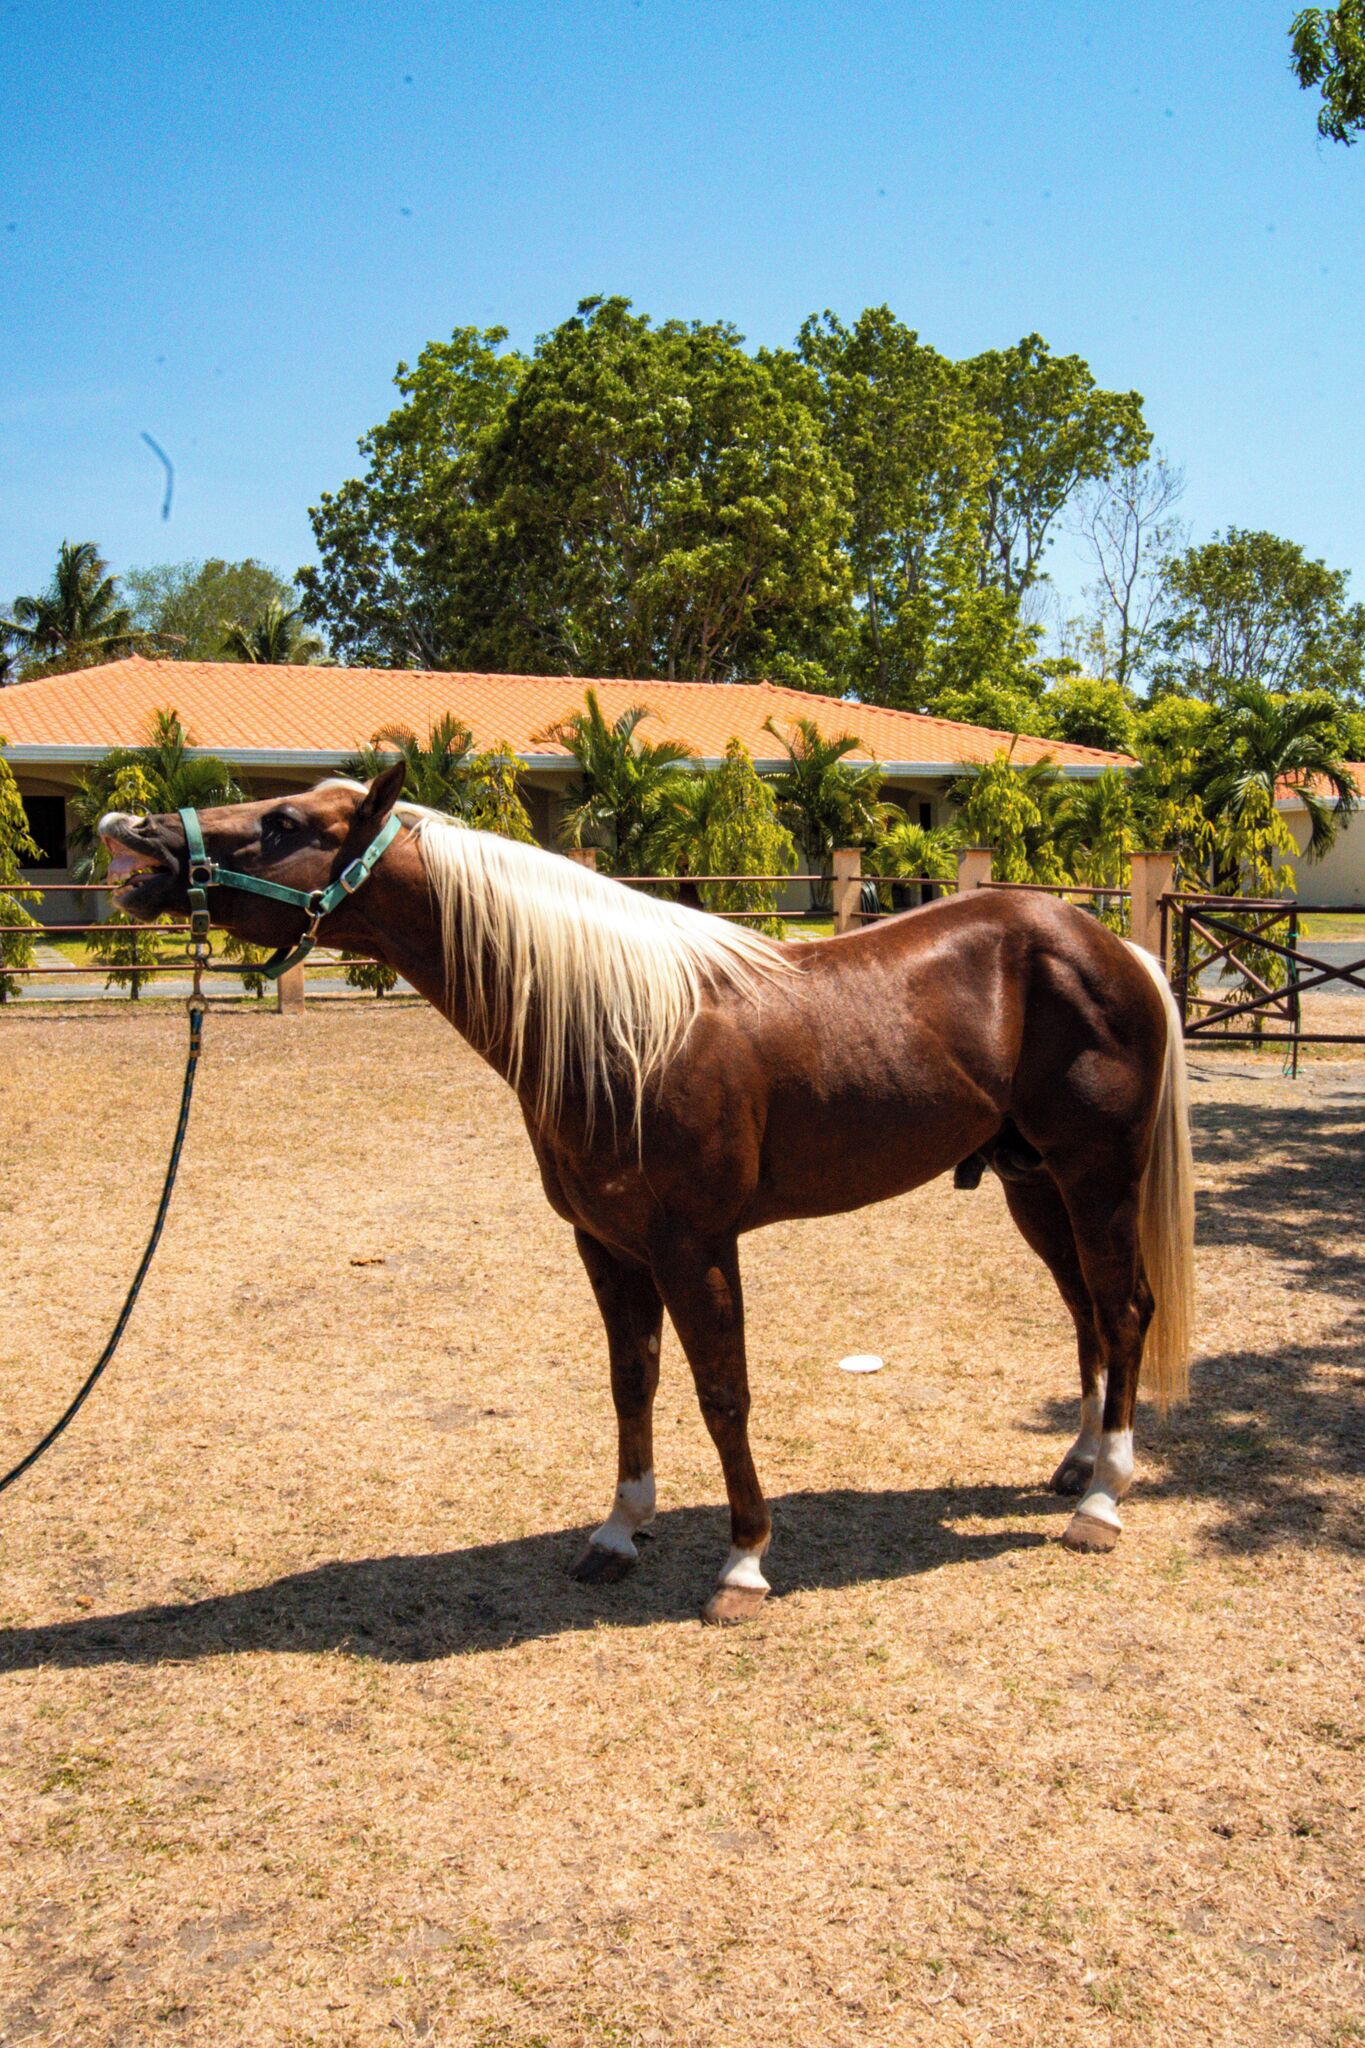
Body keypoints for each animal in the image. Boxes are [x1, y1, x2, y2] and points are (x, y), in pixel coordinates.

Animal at [99, 767, 1194, 1625]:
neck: (625, 1029)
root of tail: (1114, 948)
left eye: (285, 819)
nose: (134, 834)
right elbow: (634, 1381)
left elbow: (723, 1392)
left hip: (1096, 1174)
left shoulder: (693, 1243)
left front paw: (744, 1561)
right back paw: (1077, 1462)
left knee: (1126, 1309)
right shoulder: (607, 1244)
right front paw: (619, 1532)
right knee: (1087, 1312)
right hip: (1033, 1182)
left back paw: (1100, 1504)